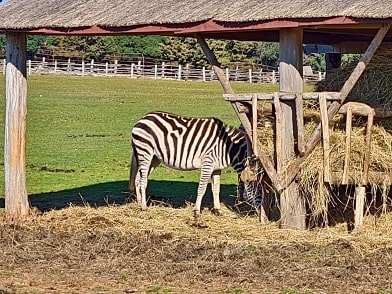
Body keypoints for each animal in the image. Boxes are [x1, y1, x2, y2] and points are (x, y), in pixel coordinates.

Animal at [129, 111, 264, 219]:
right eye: (258, 186)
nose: (261, 214)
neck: (227, 148)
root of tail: (143, 118)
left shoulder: (216, 168)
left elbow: (216, 189)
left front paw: (218, 211)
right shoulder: (207, 164)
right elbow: (202, 188)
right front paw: (196, 211)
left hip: (154, 157)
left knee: (138, 179)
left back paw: (139, 203)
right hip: (145, 152)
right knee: (143, 181)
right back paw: (144, 207)